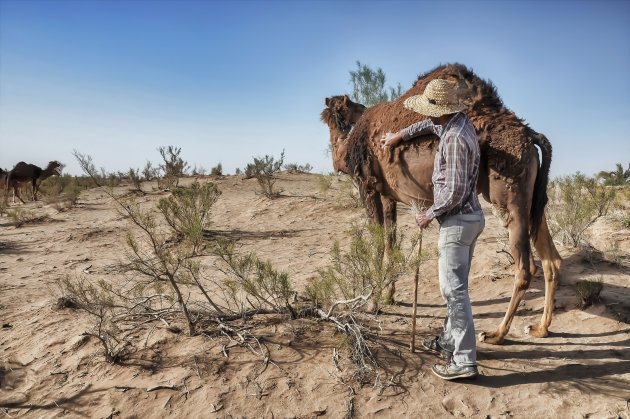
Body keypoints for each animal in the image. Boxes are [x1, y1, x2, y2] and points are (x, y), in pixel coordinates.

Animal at [324, 62, 564, 344]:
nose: (341, 121)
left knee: (526, 268)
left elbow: (376, 243)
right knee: (551, 259)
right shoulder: (387, 194)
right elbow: (390, 242)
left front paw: (373, 303)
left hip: (509, 196)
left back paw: (497, 333)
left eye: (339, 112)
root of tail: (530, 134)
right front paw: (388, 296)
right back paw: (541, 328)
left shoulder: (366, 185)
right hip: (532, 197)